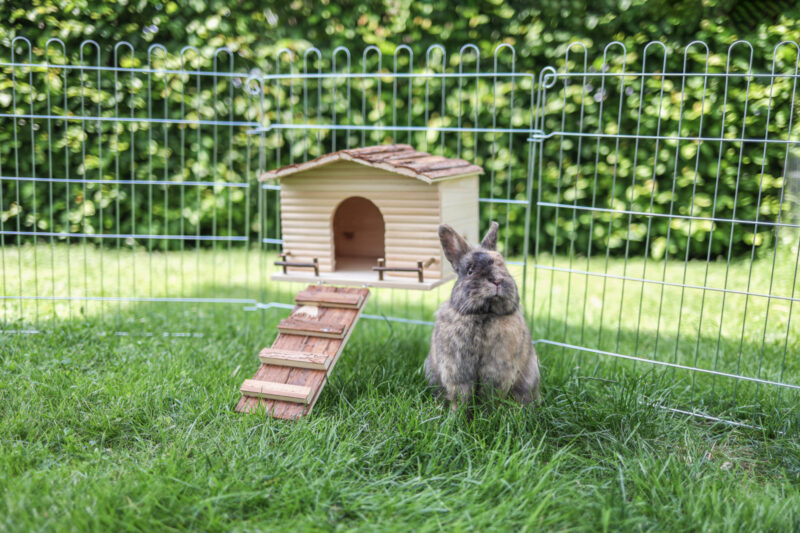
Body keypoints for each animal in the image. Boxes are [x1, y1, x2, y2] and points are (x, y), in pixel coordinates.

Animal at [422, 219, 540, 408]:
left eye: (503, 265)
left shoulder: (498, 372)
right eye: (470, 270)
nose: (497, 280)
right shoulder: (456, 371)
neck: (484, 314)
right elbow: (460, 396)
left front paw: (489, 412)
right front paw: (457, 413)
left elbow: (490, 396)